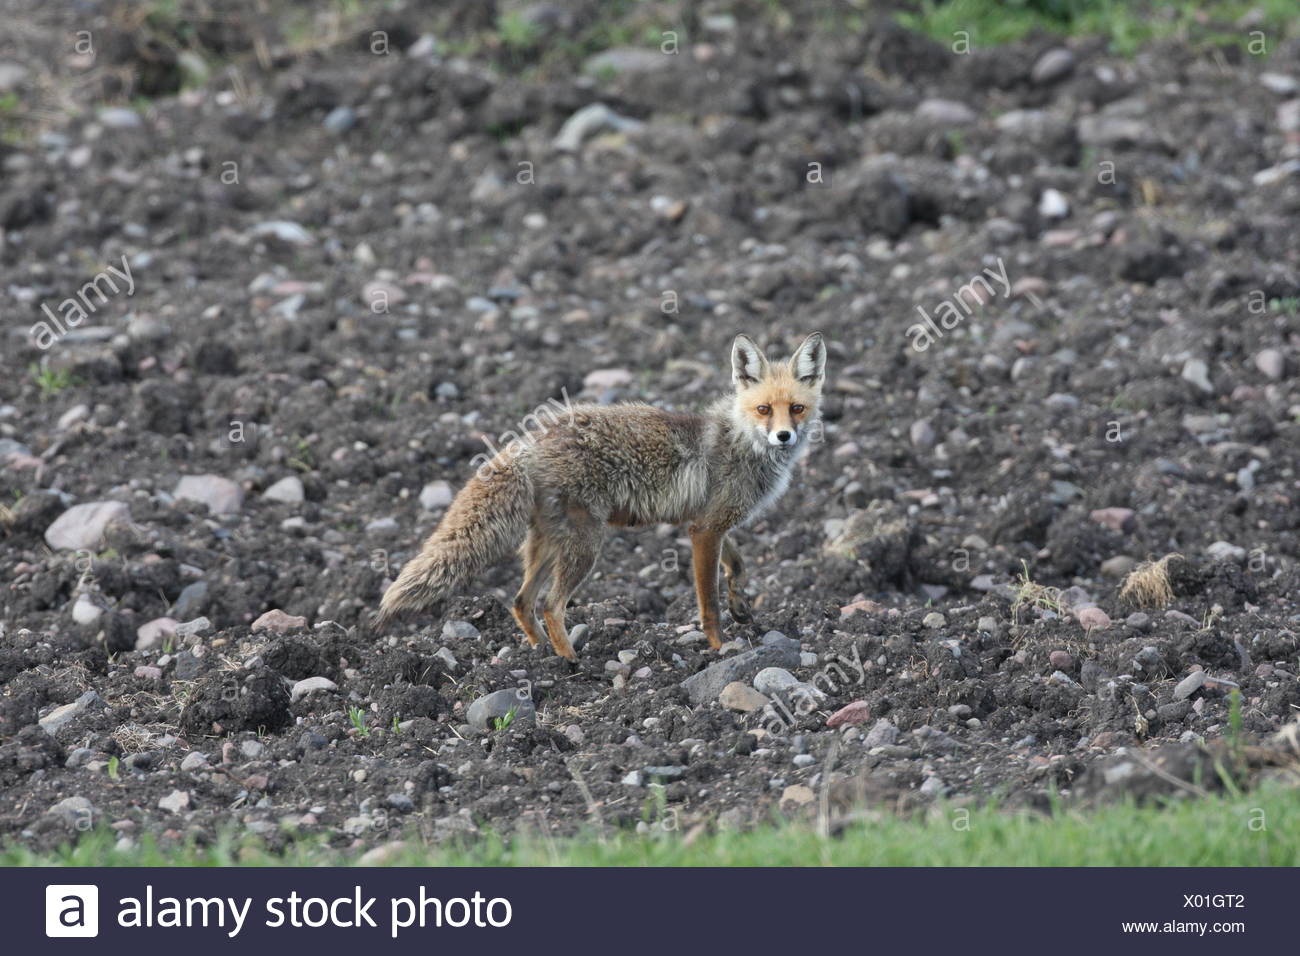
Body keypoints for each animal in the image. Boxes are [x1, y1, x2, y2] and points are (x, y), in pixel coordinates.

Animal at [375, 331, 827, 659]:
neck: (742, 443)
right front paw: (720, 647)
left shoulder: (707, 523)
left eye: (797, 408)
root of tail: (528, 440)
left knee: (521, 602)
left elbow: (738, 564)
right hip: (586, 544)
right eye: (764, 409)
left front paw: (741, 605)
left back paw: (540, 655)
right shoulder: (703, 531)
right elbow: (708, 604)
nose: (784, 436)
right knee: (550, 605)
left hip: (550, 544)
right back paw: (572, 664)